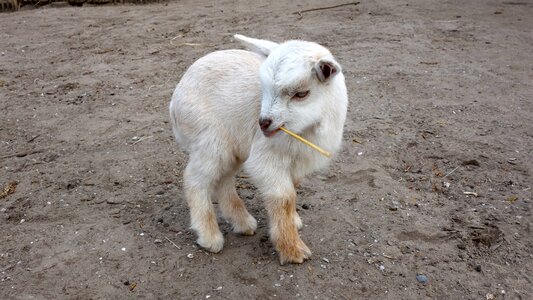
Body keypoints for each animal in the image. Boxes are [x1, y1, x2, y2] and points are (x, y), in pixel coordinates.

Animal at [168, 34, 348, 262]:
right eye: (264, 88)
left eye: (301, 94)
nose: (263, 123)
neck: (305, 131)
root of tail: (175, 98)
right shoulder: (265, 158)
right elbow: (284, 197)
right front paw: (293, 250)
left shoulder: (298, 162)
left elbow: (293, 188)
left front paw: (294, 221)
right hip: (210, 139)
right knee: (195, 180)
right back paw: (210, 237)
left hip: (232, 146)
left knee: (223, 179)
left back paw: (242, 223)